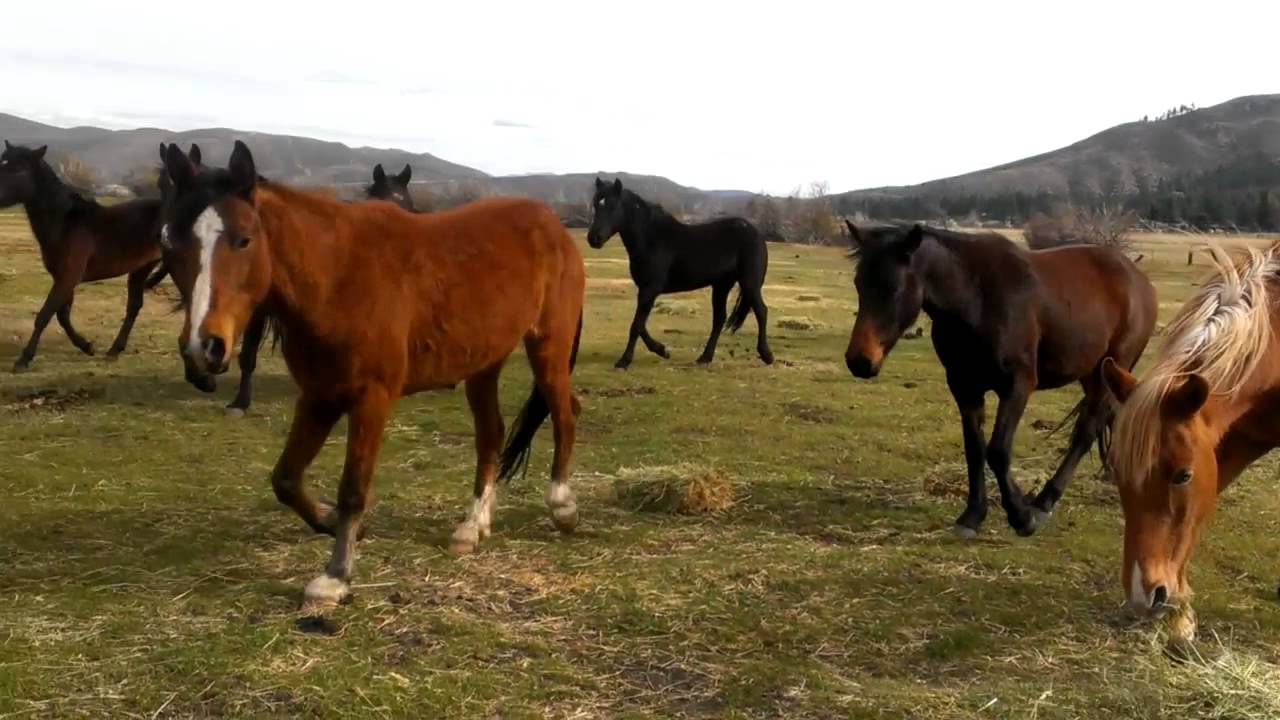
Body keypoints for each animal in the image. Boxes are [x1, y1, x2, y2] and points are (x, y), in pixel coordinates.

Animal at [0, 141, 164, 372]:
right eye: (2, 163)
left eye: (19, 169)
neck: (65, 223)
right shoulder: (62, 278)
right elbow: (62, 316)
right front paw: (87, 346)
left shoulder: (68, 277)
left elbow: (44, 315)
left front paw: (23, 360)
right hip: (141, 268)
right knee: (134, 306)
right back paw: (114, 350)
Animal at [159, 141, 586, 608]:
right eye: (170, 243)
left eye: (243, 239)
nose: (204, 348)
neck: (338, 276)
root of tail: (552, 224)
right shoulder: (319, 395)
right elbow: (285, 479)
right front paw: (330, 522)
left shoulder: (371, 398)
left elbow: (352, 488)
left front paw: (335, 576)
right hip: (483, 364)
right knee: (491, 433)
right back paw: (472, 526)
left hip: (548, 347)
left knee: (564, 414)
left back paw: (562, 505)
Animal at [587, 177, 773, 368]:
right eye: (595, 204)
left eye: (612, 206)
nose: (593, 239)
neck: (651, 239)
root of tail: (756, 233)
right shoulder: (645, 290)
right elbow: (641, 324)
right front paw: (662, 350)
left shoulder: (650, 289)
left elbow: (636, 325)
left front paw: (624, 361)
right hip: (721, 286)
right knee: (719, 319)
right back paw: (704, 358)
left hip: (749, 283)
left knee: (761, 311)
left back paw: (766, 355)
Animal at [844, 222, 1157, 537]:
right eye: (858, 284)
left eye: (892, 288)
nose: (859, 361)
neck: (977, 299)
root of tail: (1137, 278)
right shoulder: (964, 387)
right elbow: (975, 449)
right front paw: (973, 515)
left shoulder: (1017, 386)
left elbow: (998, 451)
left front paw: (1021, 515)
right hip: (1093, 373)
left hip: (1114, 365)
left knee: (1085, 432)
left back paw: (1044, 502)